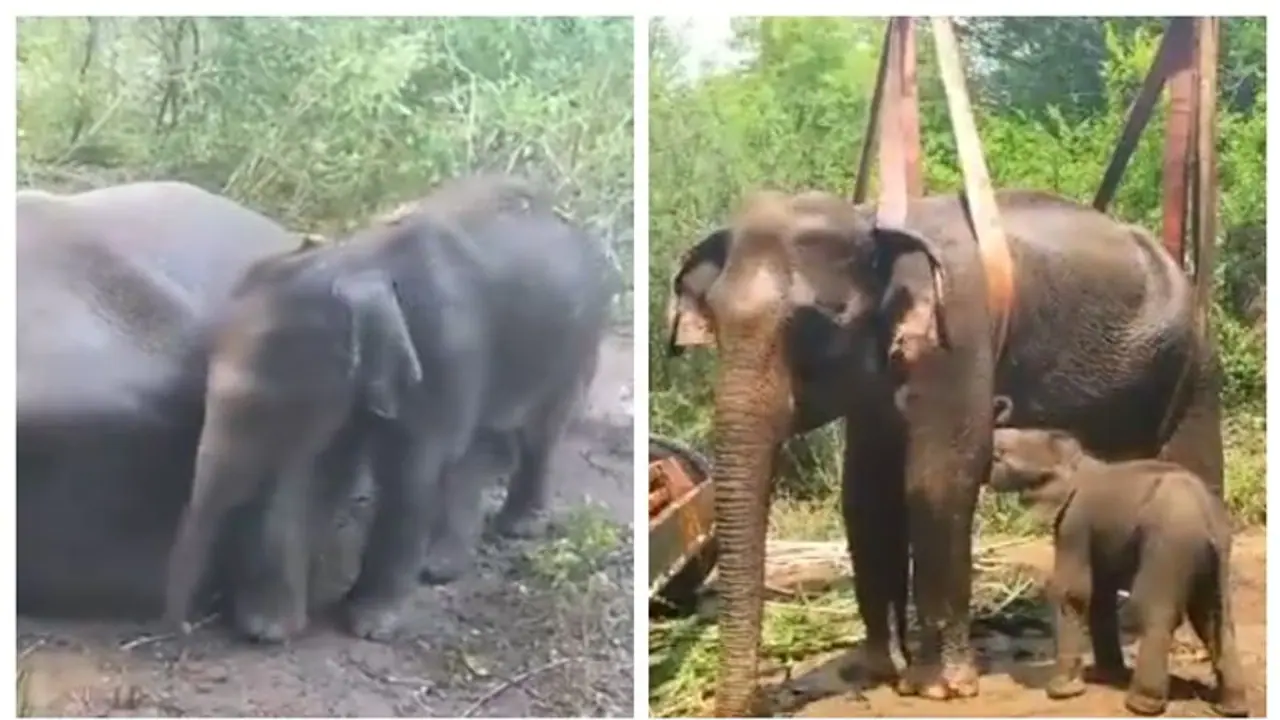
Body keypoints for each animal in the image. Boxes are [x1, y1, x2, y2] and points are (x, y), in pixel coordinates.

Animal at [164, 174, 615, 644]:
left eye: (272, 410)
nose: (186, 627)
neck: (358, 261)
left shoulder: (443, 354)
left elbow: (409, 476)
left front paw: (370, 627)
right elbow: (309, 476)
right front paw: (269, 629)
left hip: (582, 338)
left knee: (538, 433)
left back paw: (516, 529)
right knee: (473, 451)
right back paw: (440, 567)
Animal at [990, 425, 1245, 717]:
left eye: (1000, 454)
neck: (1076, 459)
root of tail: (1205, 516)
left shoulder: (1075, 522)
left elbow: (1072, 592)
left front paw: (1062, 693)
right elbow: (1100, 593)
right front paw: (1108, 675)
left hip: (1169, 544)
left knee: (1154, 610)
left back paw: (1140, 705)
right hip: (1218, 551)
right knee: (1215, 616)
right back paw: (1232, 708)